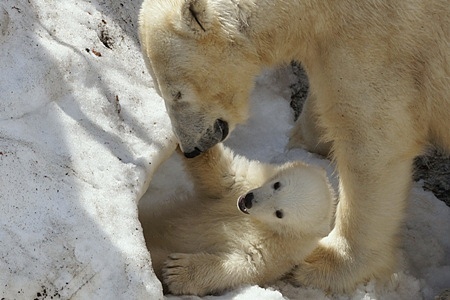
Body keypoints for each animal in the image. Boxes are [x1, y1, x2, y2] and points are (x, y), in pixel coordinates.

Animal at [139, 0, 448, 292]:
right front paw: (305, 142)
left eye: (177, 93)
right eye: (160, 88)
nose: (191, 147)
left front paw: (326, 264)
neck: (319, 9)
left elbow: (373, 141)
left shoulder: (382, 40)